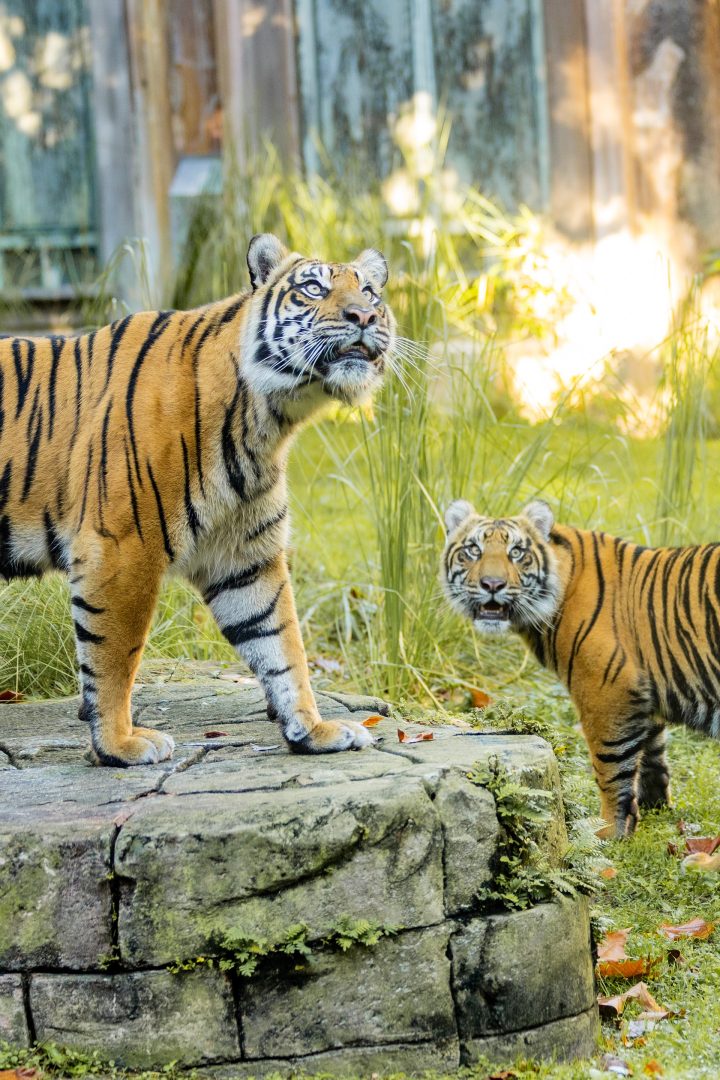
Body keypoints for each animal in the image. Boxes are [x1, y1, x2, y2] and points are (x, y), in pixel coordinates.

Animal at [0, 233, 395, 766]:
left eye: (370, 291)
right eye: (313, 288)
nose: (365, 316)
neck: (268, 421)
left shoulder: (246, 557)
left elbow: (282, 644)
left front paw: (314, 730)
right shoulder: (122, 548)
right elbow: (115, 655)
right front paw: (119, 745)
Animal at [442, 497, 720, 838]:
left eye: (516, 552)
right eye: (473, 550)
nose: (492, 584)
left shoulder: (607, 690)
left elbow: (611, 766)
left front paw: (608, 831)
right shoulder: (646, 687)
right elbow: (653, 752)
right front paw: (655, 810)